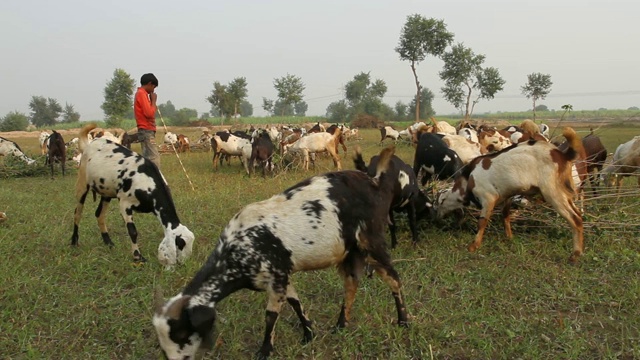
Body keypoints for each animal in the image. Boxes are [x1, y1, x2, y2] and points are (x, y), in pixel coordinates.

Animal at [70, 124, 195, 268]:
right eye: (181, 244)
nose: (183, 264)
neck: (148, 182)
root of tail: (89, 144)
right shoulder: (125, 204)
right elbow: (133, 231)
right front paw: (138, 257)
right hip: (82, 183)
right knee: (77, 213)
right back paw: (74, 241)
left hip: (106, 191)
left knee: (99, 214)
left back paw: (109, 242)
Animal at [152, 146, 408, 360]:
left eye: (181, 335)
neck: (237, 250)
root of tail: (375, 181)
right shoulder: (282, 275)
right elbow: (295, 301)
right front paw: (308, 334)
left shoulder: (276, 277)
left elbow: (271, 315)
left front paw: (265, 350)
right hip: (349, 252)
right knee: (351, 283)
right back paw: (341, 325)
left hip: (372, 242)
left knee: (393, 278)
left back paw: (403, 321)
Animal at [438, 128, 584, 262]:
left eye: (439, 202)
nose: (436, 216)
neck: (468, 179)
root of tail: (562, 155)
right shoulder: (506, 196)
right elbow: (505, 216)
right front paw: (509, 237)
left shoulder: (488, 198)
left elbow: (482, 222)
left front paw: (474, 245)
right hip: (565, 192)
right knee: (578, 214)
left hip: (552, 192)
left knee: (574, 218)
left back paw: (575, 255)